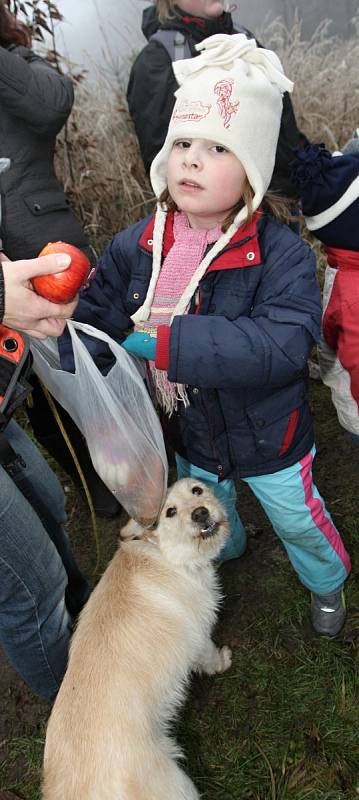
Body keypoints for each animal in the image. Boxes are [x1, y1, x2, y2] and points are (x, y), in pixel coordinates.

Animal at [43, 478, 233, 796]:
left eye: (197, 490)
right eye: (170, 512)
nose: (200, 513)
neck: (163, 554)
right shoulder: (198, 636)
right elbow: (209, 657)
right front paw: (222, 662)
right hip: (176, 785)